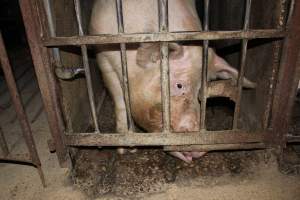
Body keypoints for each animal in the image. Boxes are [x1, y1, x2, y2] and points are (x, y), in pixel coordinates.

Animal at [89, 0, 255, 162]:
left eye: (201, 93)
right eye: (179, 85)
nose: (202, 148)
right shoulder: (103, 56)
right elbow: (120, 102)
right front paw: (125, 150)